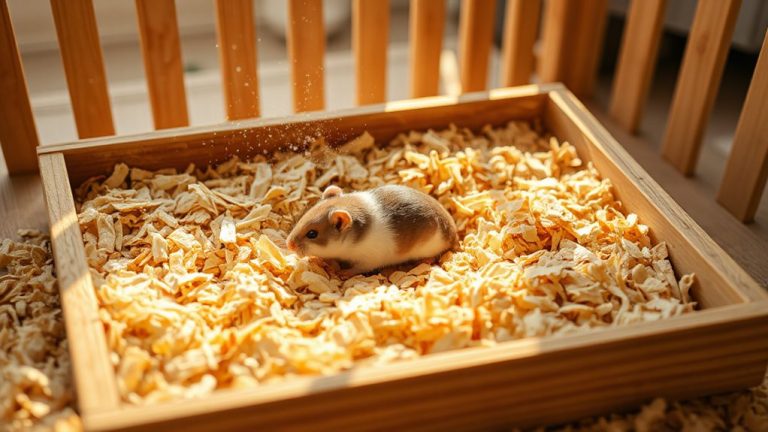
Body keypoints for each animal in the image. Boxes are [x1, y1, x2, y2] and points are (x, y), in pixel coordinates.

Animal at [286, 184, 458, 276]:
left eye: (312, 234)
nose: (288, 245)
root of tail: (453, 233)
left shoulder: (367, 260)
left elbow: (356, 269)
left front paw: (341, 273)